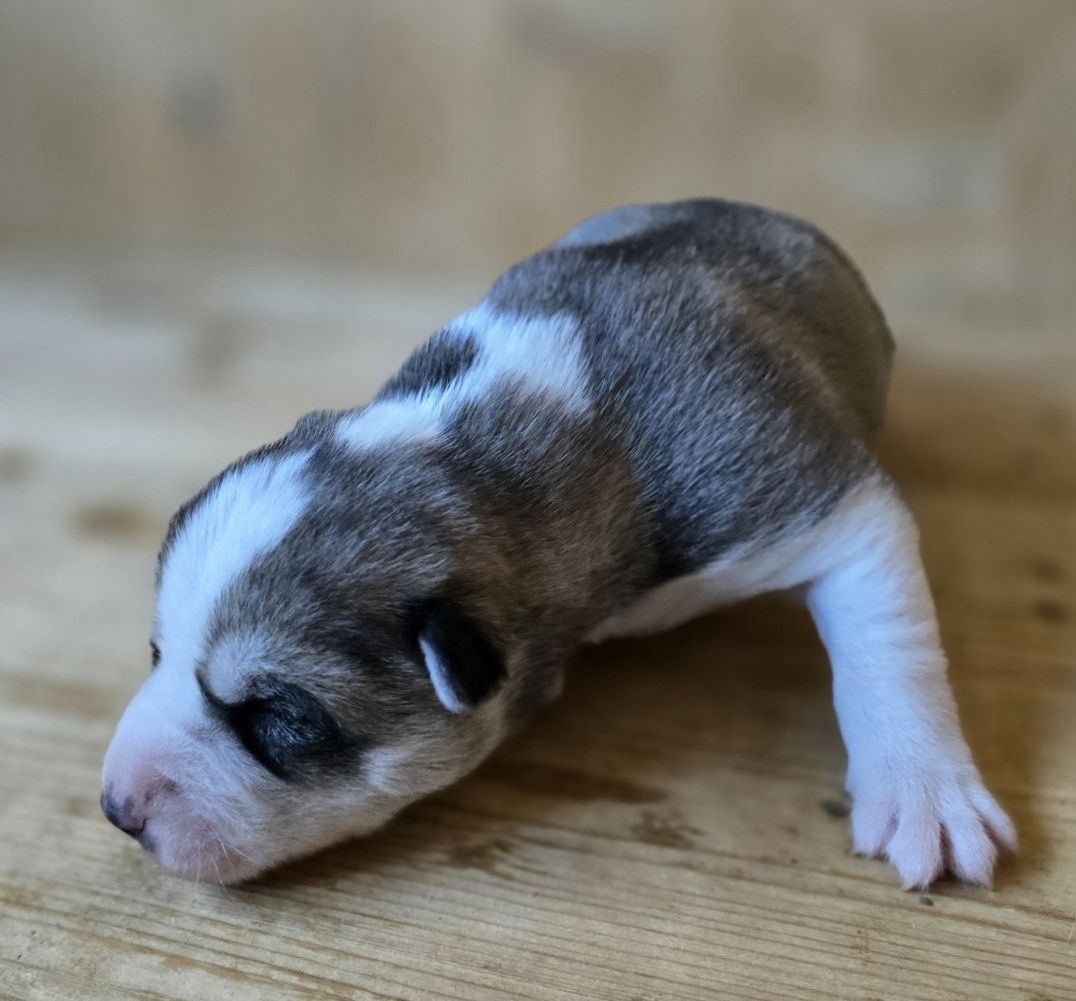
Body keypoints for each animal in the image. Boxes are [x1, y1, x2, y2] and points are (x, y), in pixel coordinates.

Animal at [101, 198, 1016, 887]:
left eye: (282, 716)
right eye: (154, 650)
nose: (116, 808)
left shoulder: (808, 497)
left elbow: (885, 638)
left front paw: (923, 789)